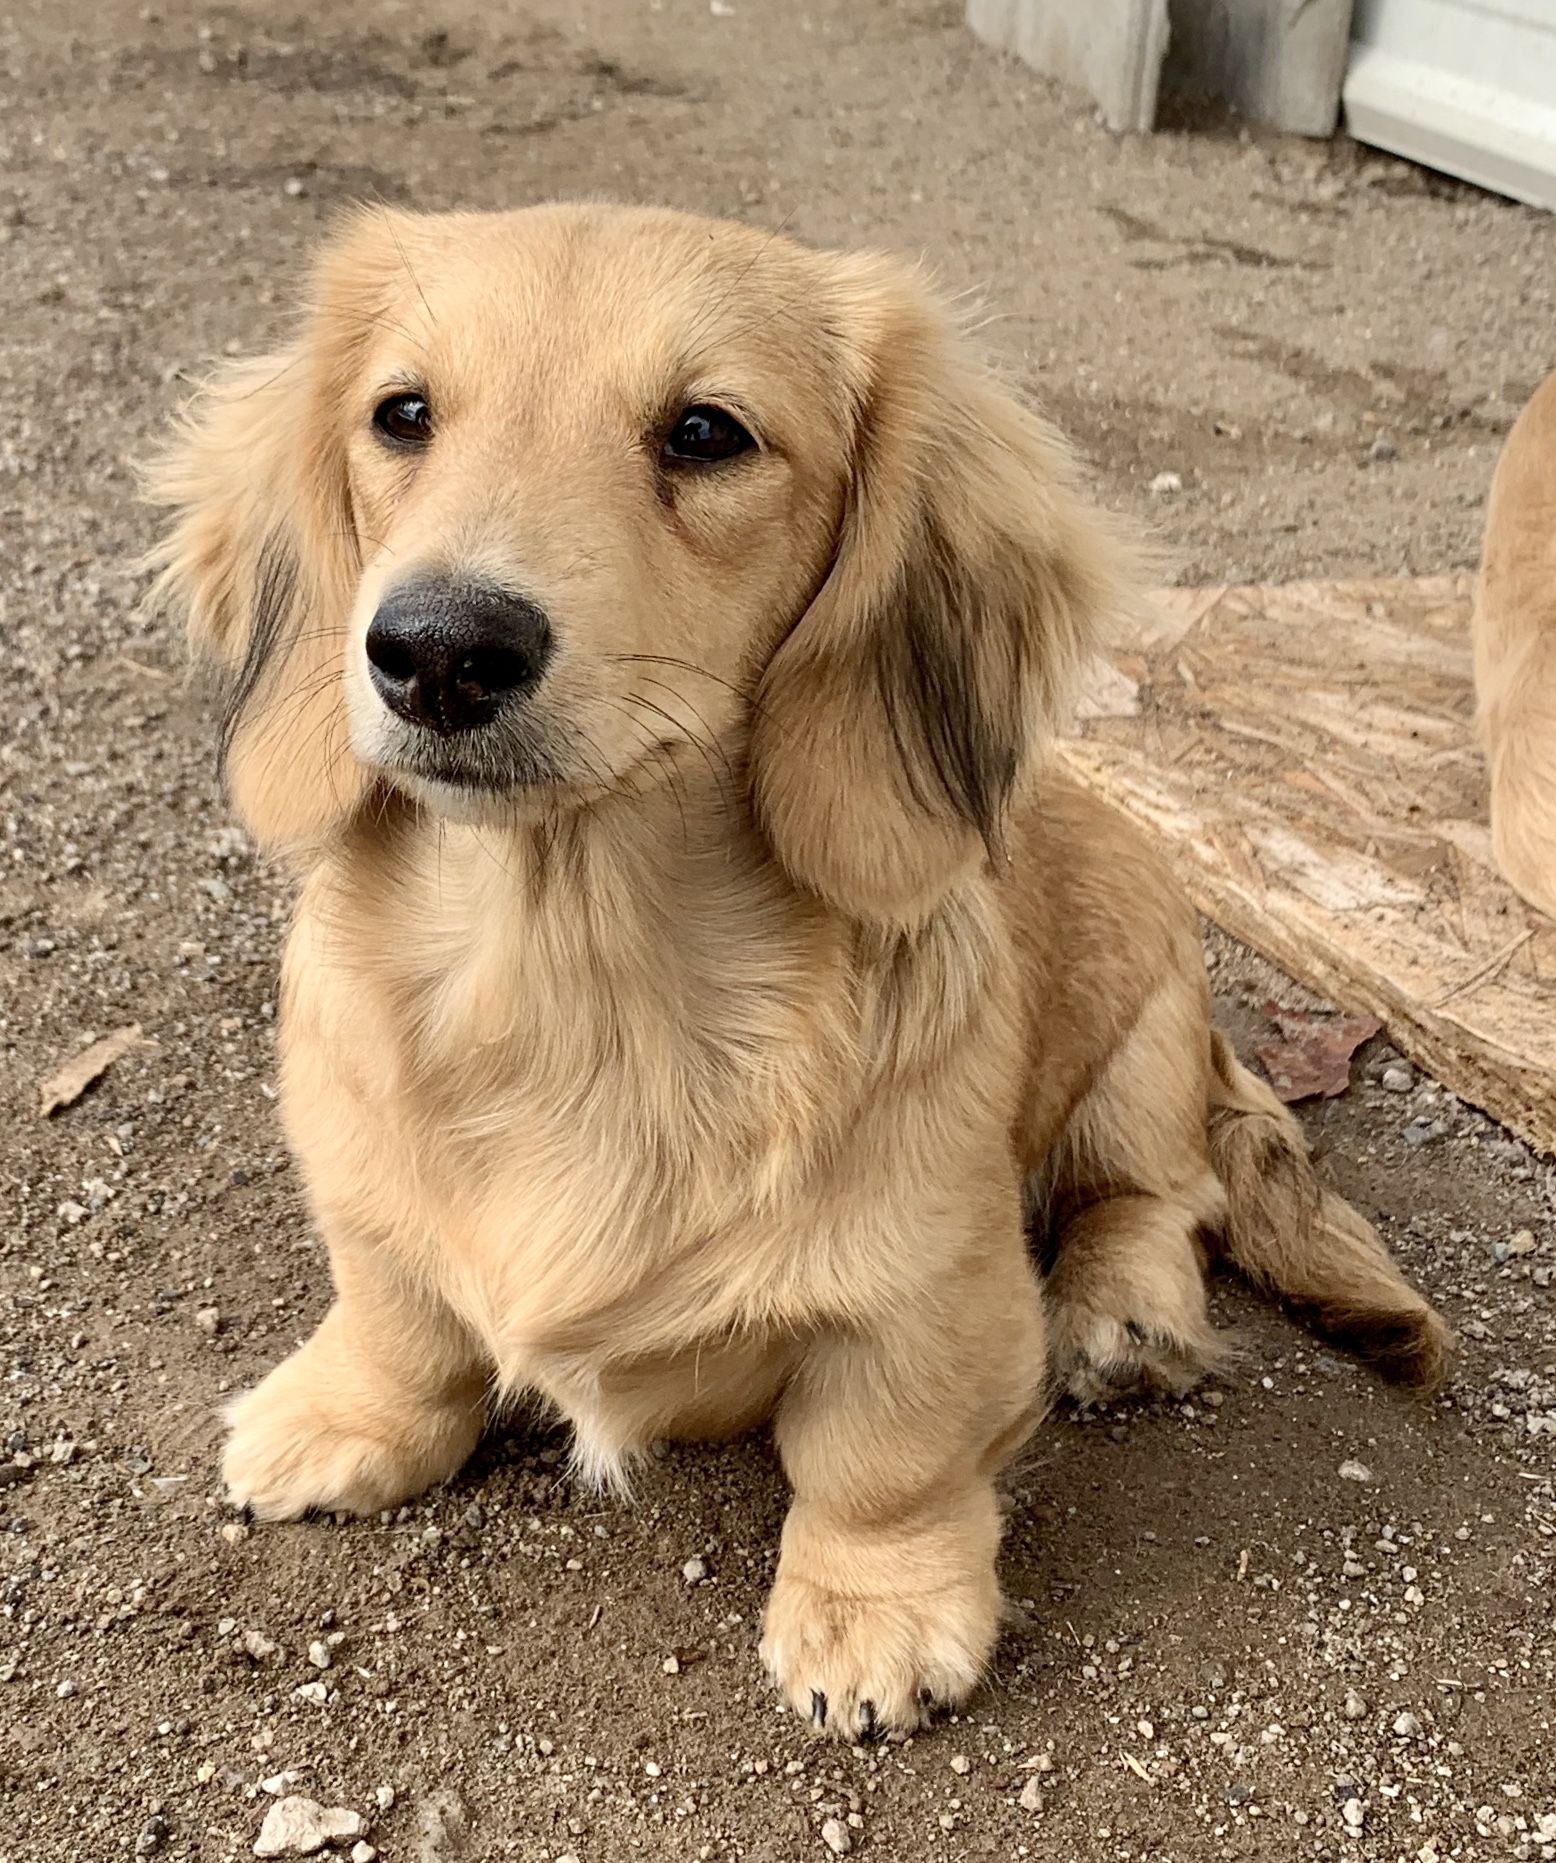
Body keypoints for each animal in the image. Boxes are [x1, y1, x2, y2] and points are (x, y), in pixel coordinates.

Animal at [155, 211, 1446, 1736]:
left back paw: (1123, 1313)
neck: (575, 979)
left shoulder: (931, 1295)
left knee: (1157, 1193)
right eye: (400, 414)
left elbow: (880, 1455)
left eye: (706, 432)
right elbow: (400, 1314)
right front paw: (345, 1418)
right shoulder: (366, 1190)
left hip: (1137, 1037)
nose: (438, 652)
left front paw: (875, 1608)